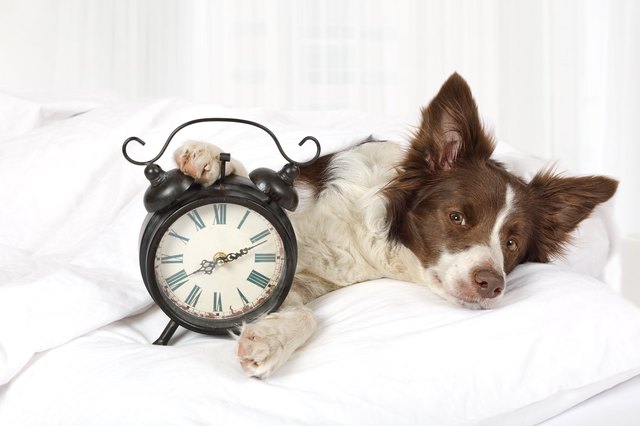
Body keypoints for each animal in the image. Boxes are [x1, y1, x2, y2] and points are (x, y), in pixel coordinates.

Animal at [172, 74, 616, 380]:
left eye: (511, 243)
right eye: (457, 217)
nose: (491, 283)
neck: (366, 235)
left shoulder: (303, 280)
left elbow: (304, 313)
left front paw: (271, 338)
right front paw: (210, 157)